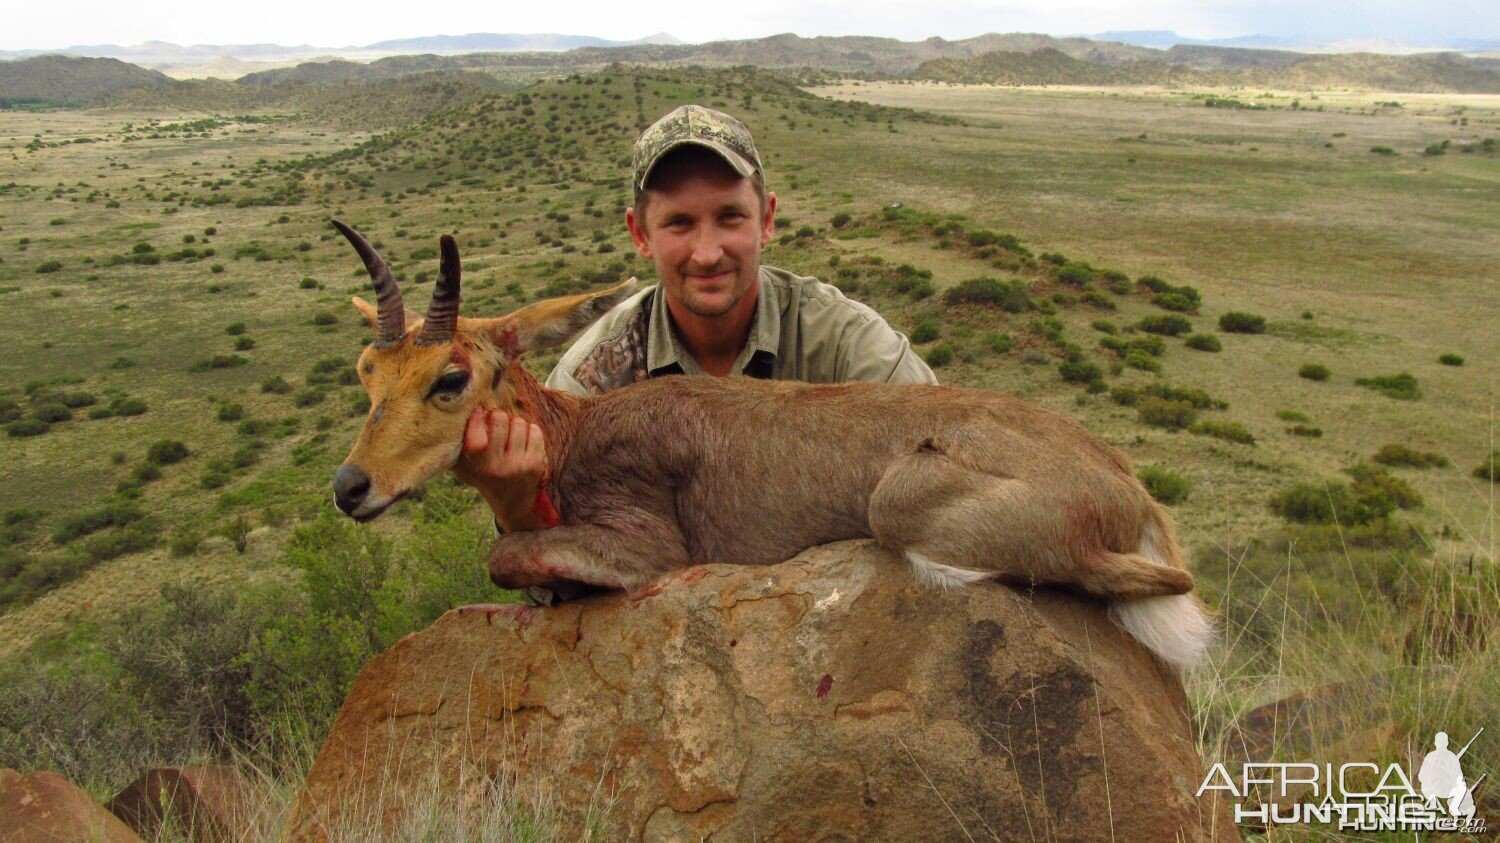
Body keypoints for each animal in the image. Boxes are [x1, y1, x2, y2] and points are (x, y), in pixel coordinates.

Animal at [331, 223, 1218, 669]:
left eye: (449, 376)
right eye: (368, 369)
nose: (350, 486)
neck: (573, 432)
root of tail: (1128, 484)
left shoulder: (648, 553)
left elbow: (506, 556)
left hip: (899, 504)